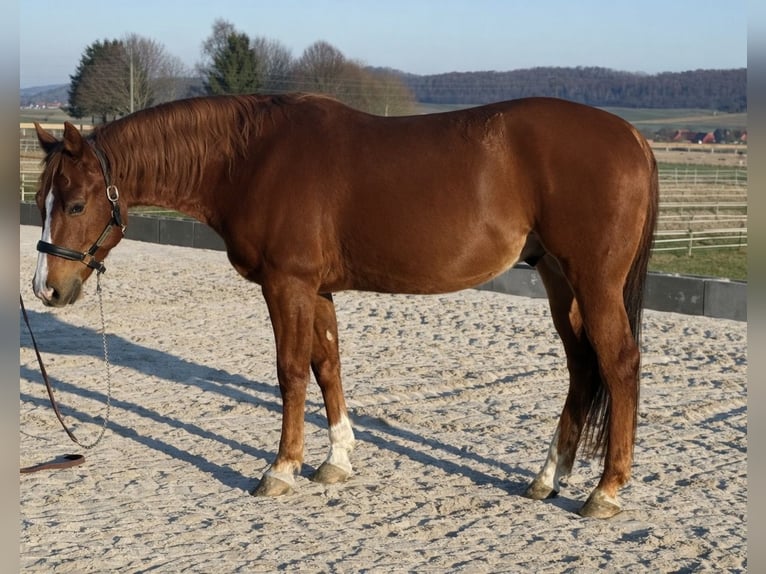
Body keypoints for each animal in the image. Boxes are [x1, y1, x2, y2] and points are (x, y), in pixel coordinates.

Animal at [31, 93, 658, 518]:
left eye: (77, 203)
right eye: (41, 201)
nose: (47, 289)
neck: (251, 158)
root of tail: (631, 135)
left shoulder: (286, 285)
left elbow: (290, 373)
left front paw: (281, 469)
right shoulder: (318, 288)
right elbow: (326, 365)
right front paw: (336, 461)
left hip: (593, 282)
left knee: (619, 363)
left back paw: (605, 490)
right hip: (558, 280)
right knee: (582, 367)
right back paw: (549, 477)